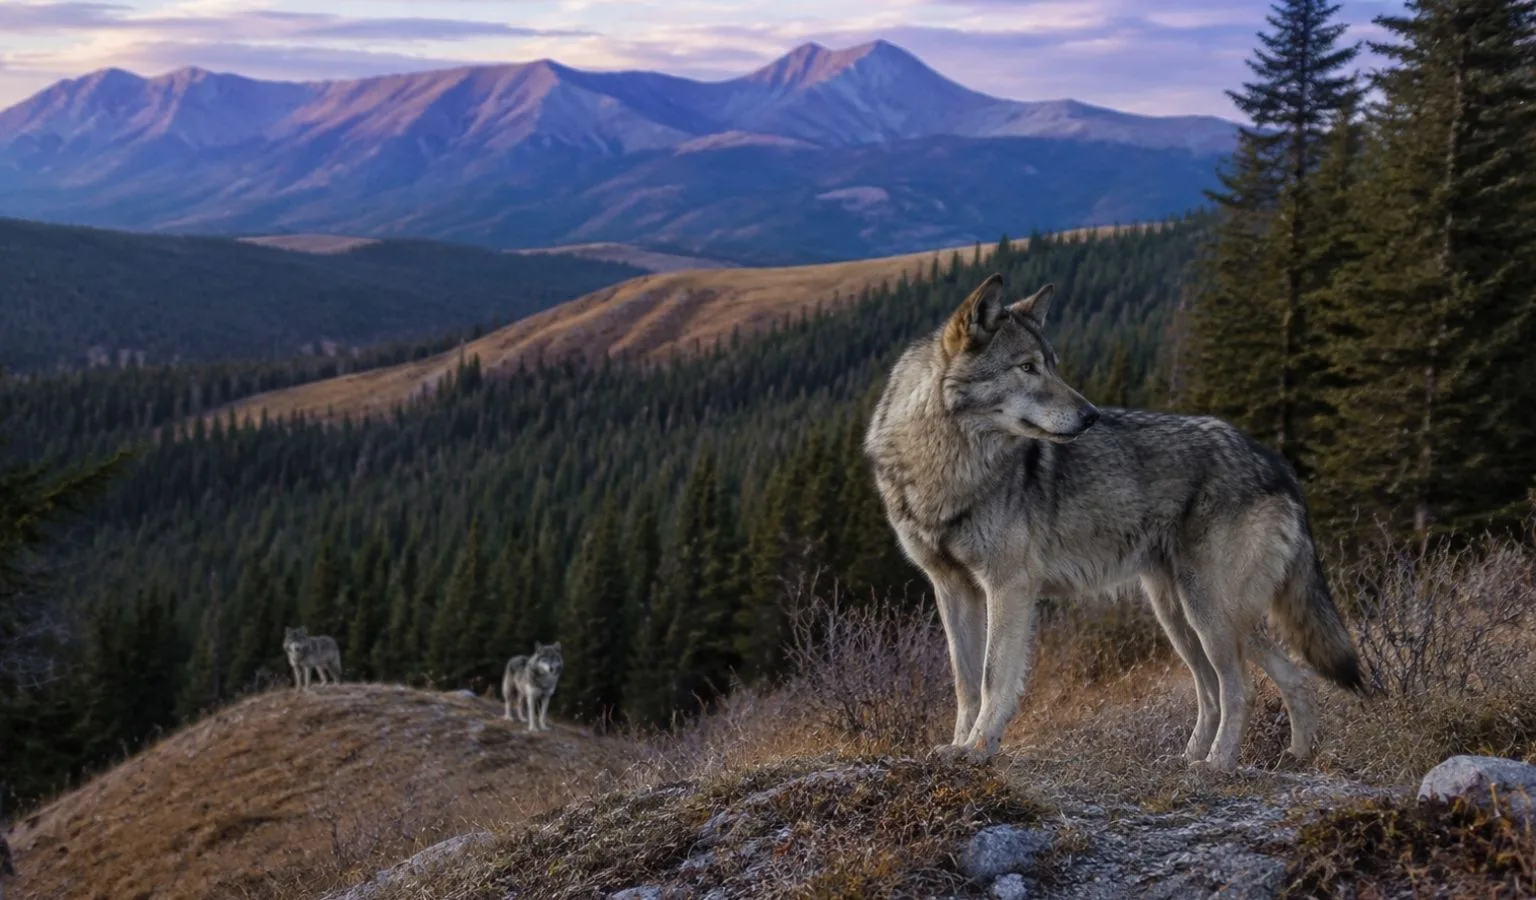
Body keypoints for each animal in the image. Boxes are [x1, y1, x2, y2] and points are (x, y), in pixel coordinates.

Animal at [864, 273, 1364, 773]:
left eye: (1052, 366)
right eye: (1027, 367)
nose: (1091, 416)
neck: (946, 465)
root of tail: (1277, 464)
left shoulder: (1009, 586)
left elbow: (992, 679)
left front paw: (979, 747)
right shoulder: (952, 589)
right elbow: (964, 681)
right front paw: (957, 746)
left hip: (1208, 614)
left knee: (1239, 687)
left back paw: (1215, 765)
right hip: (1184, 616)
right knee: (1265, 680)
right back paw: (1268, 755)